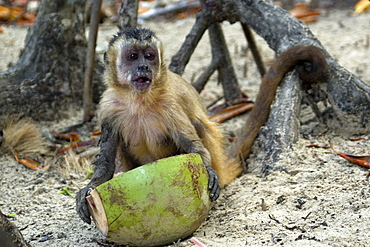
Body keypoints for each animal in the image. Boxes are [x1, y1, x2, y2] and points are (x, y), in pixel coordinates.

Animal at [75, 26, 326, 224]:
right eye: (133, 56)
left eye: (149, 56)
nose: (143, 68)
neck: (139, 100)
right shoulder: (108, 106)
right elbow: (106, 161)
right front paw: (87, 191)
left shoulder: (169, 103)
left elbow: (193, 145)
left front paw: (208, 172)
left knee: (199, 124)